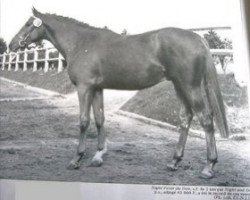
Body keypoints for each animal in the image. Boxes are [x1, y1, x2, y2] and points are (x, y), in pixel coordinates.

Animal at [9, 8, 229, 180]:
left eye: (28, 24)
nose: (11, 45)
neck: (82, 43)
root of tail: (198, 38)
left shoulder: (84, 88)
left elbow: (83, 121)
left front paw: (77, 158)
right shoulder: (97, 89)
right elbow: (99, 119)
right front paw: (98, 155)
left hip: (190, 86)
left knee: (206, 119)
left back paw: (209, 167)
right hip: (179, 85)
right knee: (186, 117)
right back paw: (174, 161)